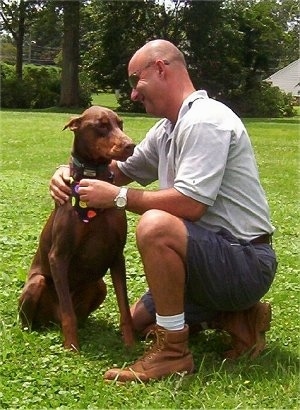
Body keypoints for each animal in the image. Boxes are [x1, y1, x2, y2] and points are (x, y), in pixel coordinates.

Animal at [18, 106, 135, 352]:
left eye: (120, 124)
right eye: (101, 125)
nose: (131, 145)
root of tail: (51, 322)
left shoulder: (117, 255)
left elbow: (125, 308)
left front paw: (130, 343)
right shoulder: (59, 255)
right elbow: (68, 313)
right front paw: (72, 347)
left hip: (99, 286)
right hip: (37, 283)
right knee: (37, 319)